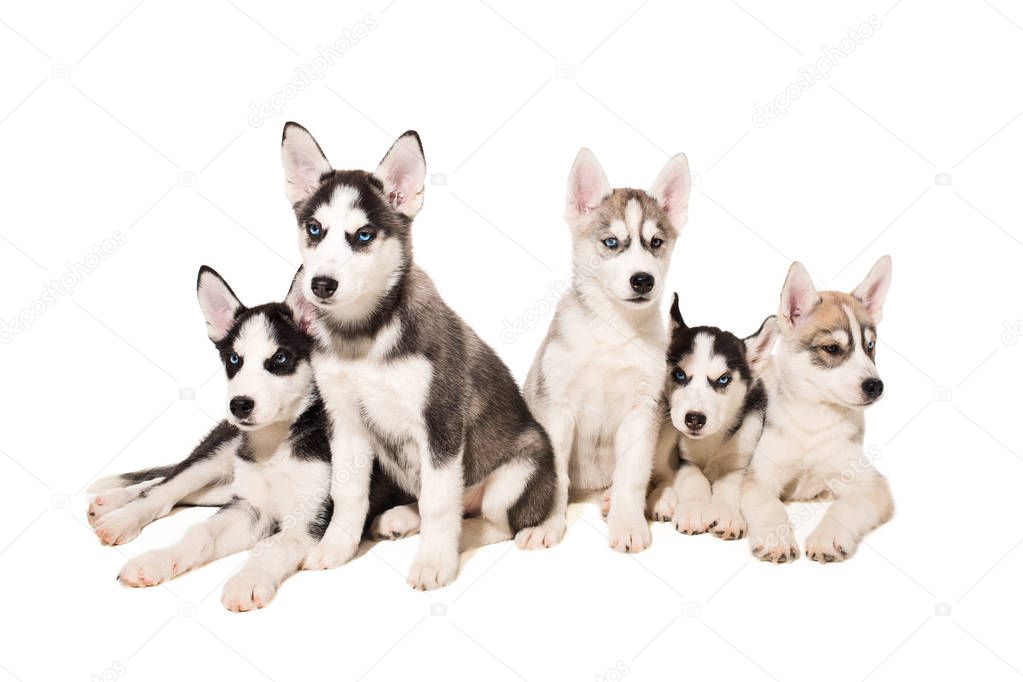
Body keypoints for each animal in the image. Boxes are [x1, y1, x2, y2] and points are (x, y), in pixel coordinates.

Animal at [276, 124, 556, 593]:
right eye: (314, 229)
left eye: (364, 236)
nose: (321, 285)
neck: (363, 337)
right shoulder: (345, 422)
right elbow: (348, 494)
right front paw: (335, 548)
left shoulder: (440, 420)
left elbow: (440, 505)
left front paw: (435, 562)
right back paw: (403, 517)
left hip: (520, 469)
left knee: (493, 521)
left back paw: (462, 535)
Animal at [519, 147, 695, 552]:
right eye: (611, 243)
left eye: (656, 243)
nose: (643, 280)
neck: (613, 330)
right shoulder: (557, 409)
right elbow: (556, 476)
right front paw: (547, 524)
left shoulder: (642, 410)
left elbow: (633, 474)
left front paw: (628, 523)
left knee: (657, 473)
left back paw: (647, 497)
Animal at [646, 294, 773, 539]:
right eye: (679, 374)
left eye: (723, 379)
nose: (694, 418)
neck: (710, 441)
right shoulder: (682, 458)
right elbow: (693, 477)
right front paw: (694, 510)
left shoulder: (741, 460)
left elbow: (728, 483)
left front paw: (727, 514)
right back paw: (662, 498)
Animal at [744, 255, 896, 564]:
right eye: (832, 348)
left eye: (870, 346)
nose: (875, 386)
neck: (813, 419)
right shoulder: (758, 477)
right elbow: (769, 505)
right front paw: (775, 539)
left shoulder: (871, 484)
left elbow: (845, 507)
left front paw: (829, 537)